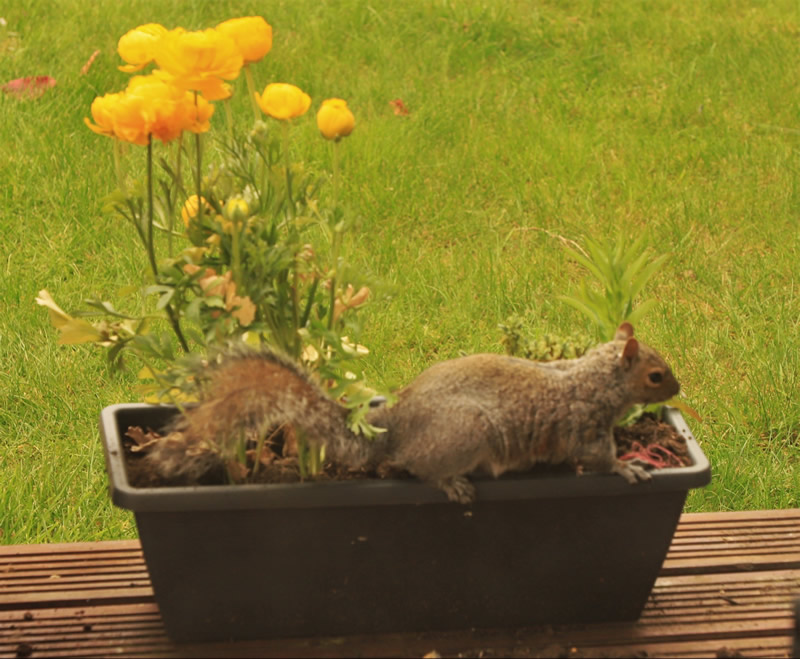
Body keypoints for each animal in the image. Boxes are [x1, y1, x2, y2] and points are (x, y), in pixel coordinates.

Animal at [145, 322, 680, 502]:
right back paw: (451, 483)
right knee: (416, 468)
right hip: (465, 434)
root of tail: (394, 429)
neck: (593, 377)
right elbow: (596, 457)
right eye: (656, 376)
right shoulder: (584, 425)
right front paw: (628, 468)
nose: (678, 387)